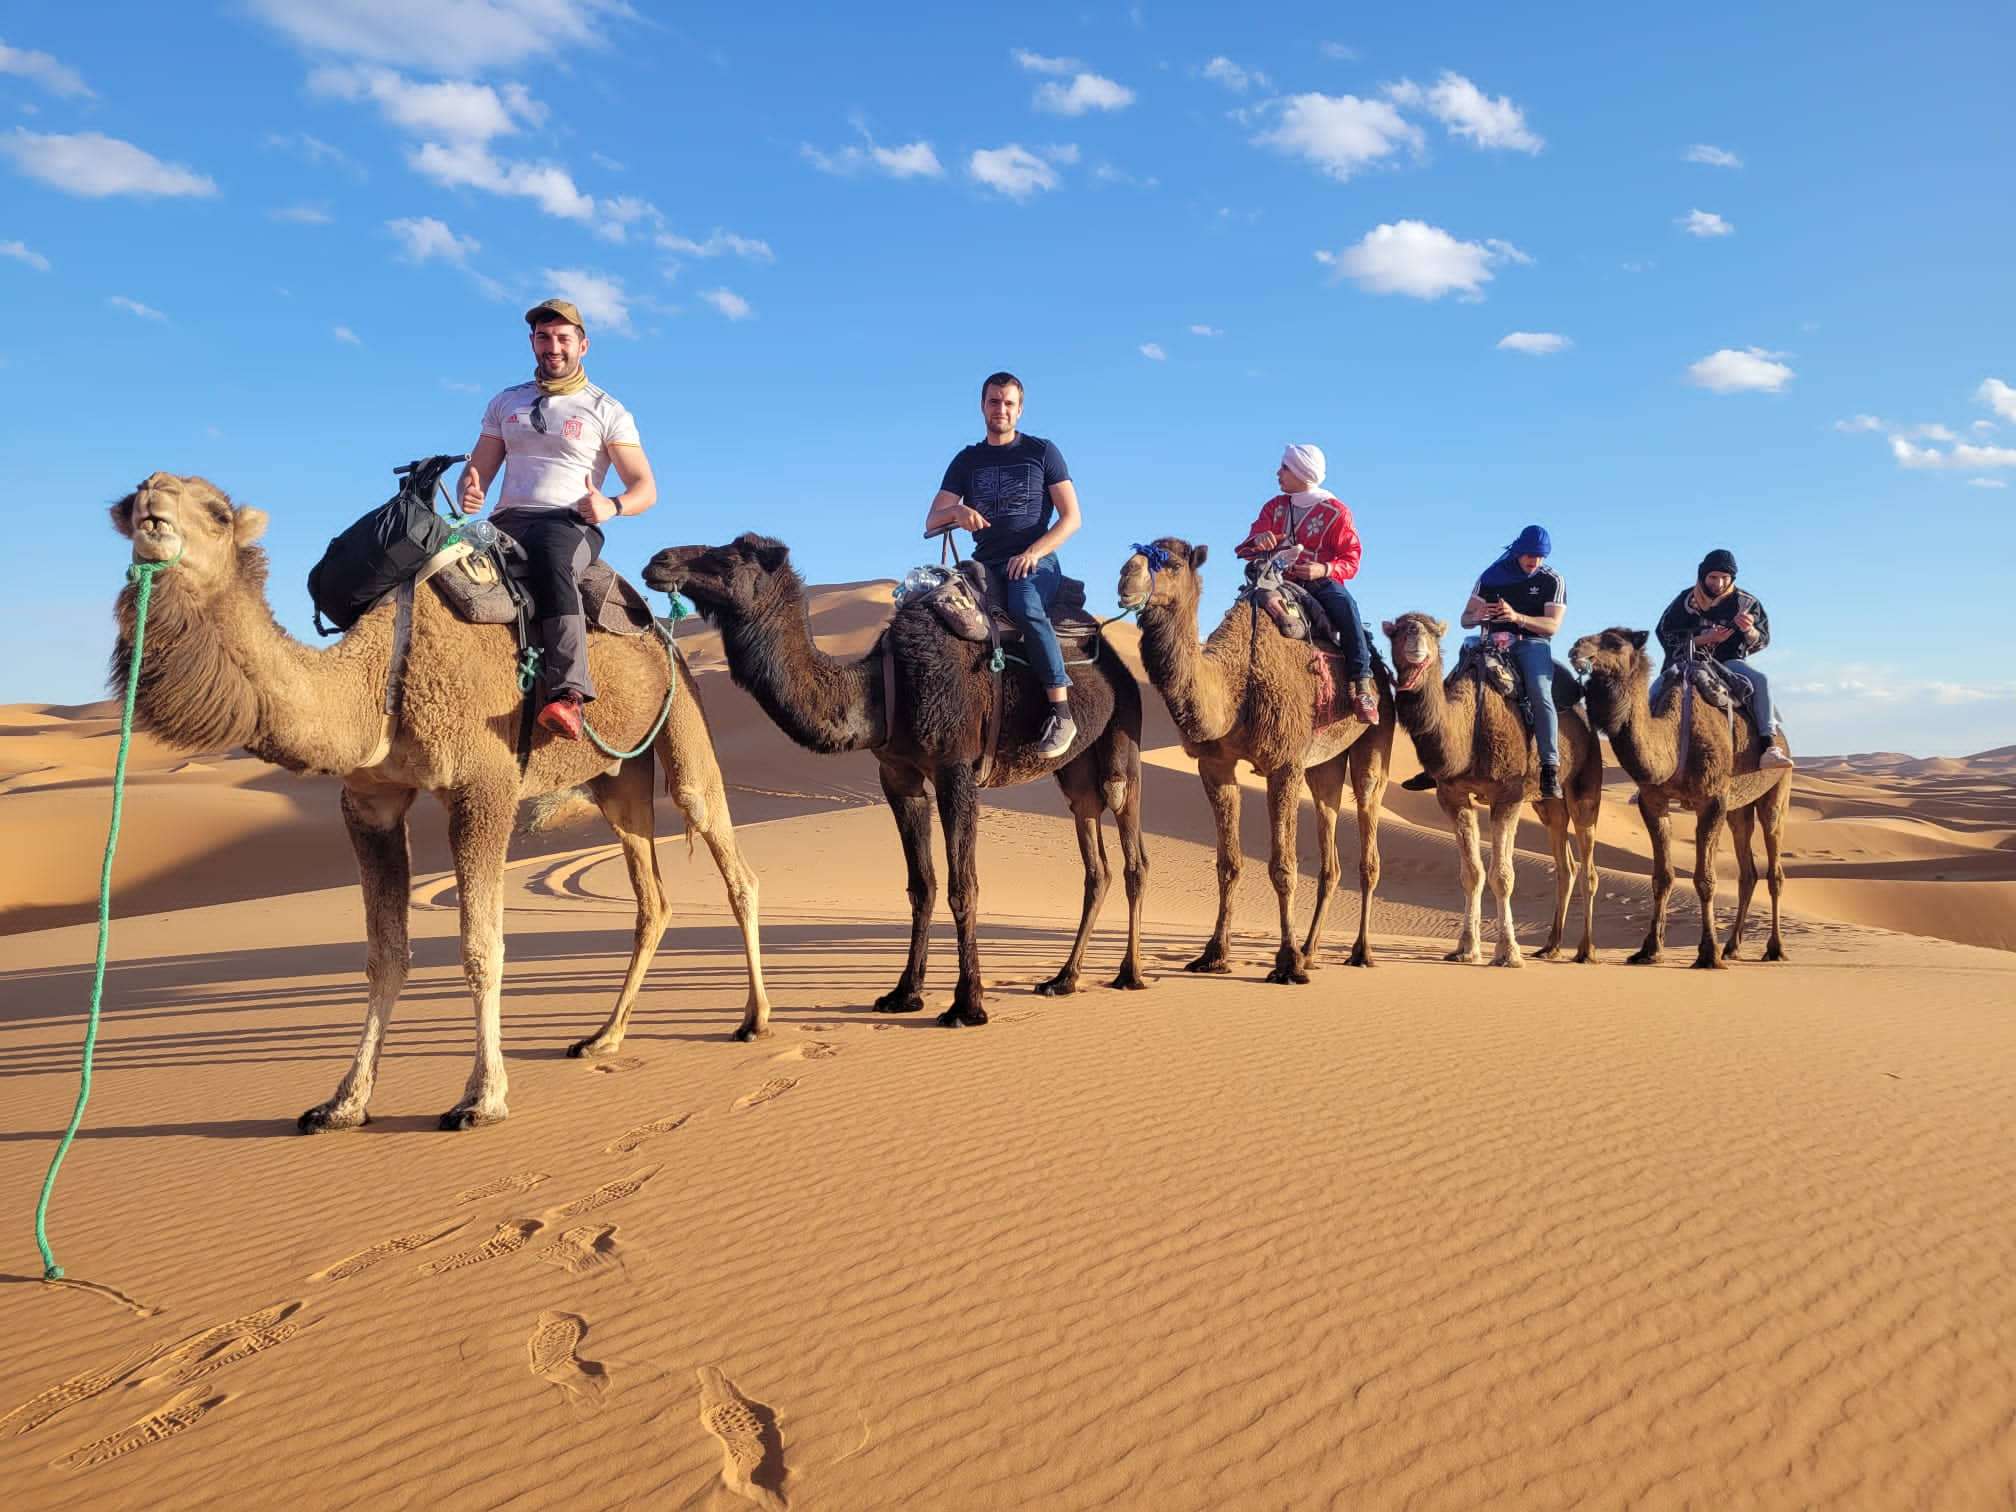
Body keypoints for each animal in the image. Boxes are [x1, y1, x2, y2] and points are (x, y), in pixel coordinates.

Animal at [112, 479, 770, 1128]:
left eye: (218, 513)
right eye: (130, 498)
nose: (151, 504)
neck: (380, 677)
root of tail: (657, 628)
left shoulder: (484, 786)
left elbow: (482, 948)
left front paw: (482, 1097)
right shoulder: (370, 802)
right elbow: (384, 956)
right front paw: (344, 1101)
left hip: (681, 710)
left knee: (724, 849)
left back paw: (754, 1020)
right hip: (617, 774)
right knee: (651, 896)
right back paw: (603, 1037)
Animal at [645, 536, 1153, 1032]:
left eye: (730, 556)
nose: (658, 560)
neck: (887, 687)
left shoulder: (955, 769)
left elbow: (963, 886)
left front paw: (967, 1006)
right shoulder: (898, 775)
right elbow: (920, 885)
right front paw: (904, 993)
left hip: (1123, 740)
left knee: (1132, 851)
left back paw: (1129, 974)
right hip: (1075, 772)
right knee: (1095, 859)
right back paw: (1063, 979)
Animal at [1112, 540, 1395, 987]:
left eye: (1170, 564)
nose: (1127, 577)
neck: (1235, 686)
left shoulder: (1284, 764)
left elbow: (1282, 867)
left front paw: (1286, 964)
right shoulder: (1216, 766)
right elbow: (1228, 863)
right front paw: (1213, 954)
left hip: (1374, 742)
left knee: (1368, 843)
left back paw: (1359, 952)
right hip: (1323, 766)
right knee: (1330, 850)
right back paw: (1311, 951)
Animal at [1378, 608, 1596, 963]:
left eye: (1434, 632)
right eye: (1396, 632)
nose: (1415, 641)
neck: (1470, 726)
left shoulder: (1507, 794)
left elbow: (1503, 875)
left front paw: (1508, 953)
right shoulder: (1452, 795)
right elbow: (1472, 874)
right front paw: (1466, 948)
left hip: (1585, 786)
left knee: (1588, 866)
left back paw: (1586, 951)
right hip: (1547, 803)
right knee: (1566, 866)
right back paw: (1550, 946)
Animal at [1564, 628, 1790, 971]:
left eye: (1614, 643)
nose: (1577, 649)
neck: (1672, 738)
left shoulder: (1712, 800)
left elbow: (1705, 879)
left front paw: (1707, 954)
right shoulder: (1652, 800)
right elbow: (1662, 877)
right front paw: (1648, 950)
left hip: (1777, 791)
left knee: (1774, 866)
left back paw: (1774, 949)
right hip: (1738, 808)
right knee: (1747, 871)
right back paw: (1732, 947)